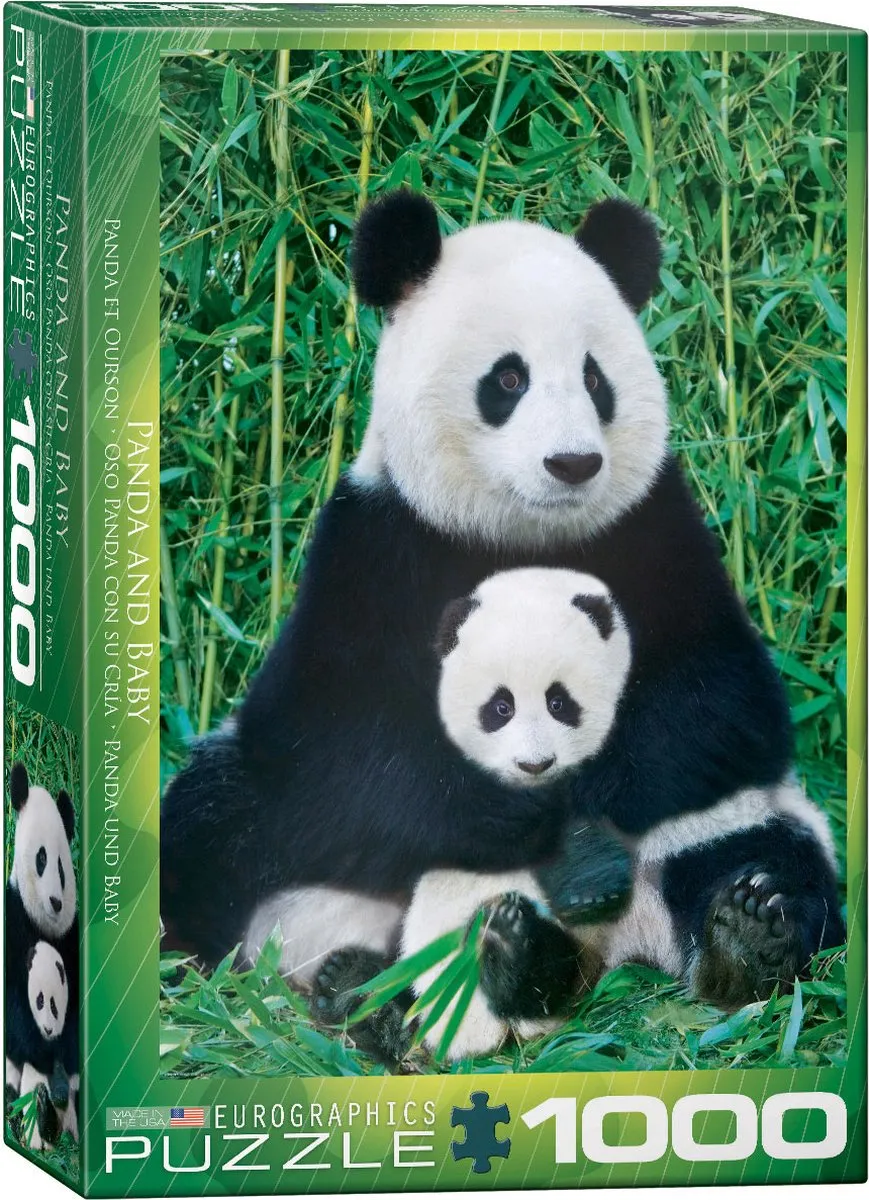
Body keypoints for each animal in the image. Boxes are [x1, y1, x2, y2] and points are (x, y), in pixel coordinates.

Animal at [161, 190, 839, 1048]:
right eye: (508, 378)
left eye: (593, 378)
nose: (572, 463)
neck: (521, 535)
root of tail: (611, 952)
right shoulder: (374, 547)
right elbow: (335, 744)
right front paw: (538, 822)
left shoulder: (656, 532)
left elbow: (719, 708)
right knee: (212, 826)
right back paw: (373, 989)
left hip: (736, 821)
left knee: (768, 854)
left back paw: (739, 936)